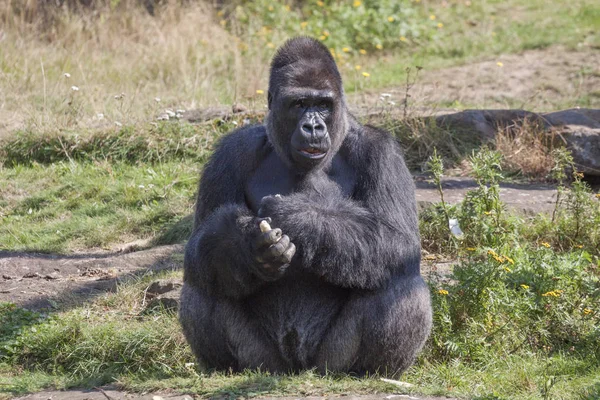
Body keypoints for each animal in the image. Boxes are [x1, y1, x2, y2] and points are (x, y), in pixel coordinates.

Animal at [179, 37, 432, 376]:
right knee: (205, 276)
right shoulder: (231, 151)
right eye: (299, 104)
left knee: (399, 279)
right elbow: (200, 243)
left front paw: (296, 216)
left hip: (330, 362)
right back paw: (225, 367)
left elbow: (398, 240)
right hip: (264, 362)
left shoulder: (380, 151)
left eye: (323, 104)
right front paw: (247, 247)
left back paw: (371, 370)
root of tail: (298, 368)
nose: (313, 127)